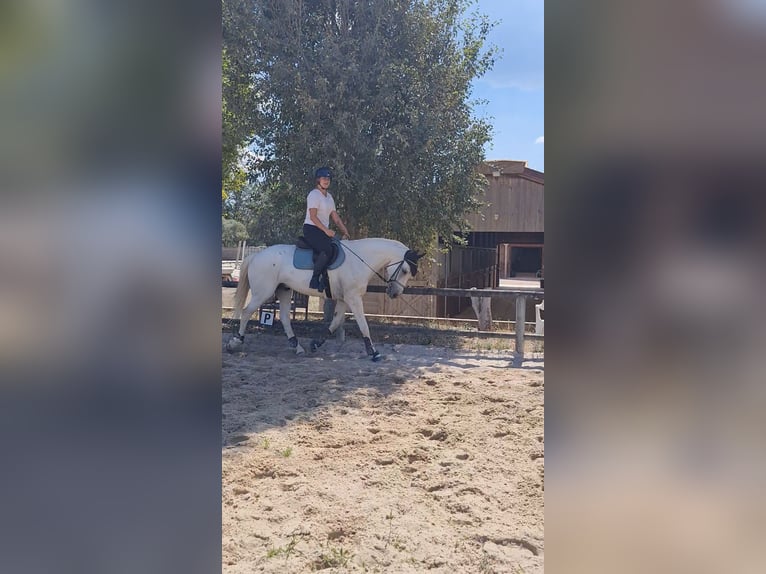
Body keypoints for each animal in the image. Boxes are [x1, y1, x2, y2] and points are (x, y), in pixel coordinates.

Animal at [225, 238, 426, 360]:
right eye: (405, 270)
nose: (395, 293)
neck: (360, 260)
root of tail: (256, 255)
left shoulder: (344, 299)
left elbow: (335, 322)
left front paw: (315, 344)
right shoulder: (353, 298)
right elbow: (363, 324)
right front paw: (373, 352)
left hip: (284, 290)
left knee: (283, 318)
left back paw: (297, 346)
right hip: (263, 292)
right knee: (246, 312)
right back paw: (235, 342)